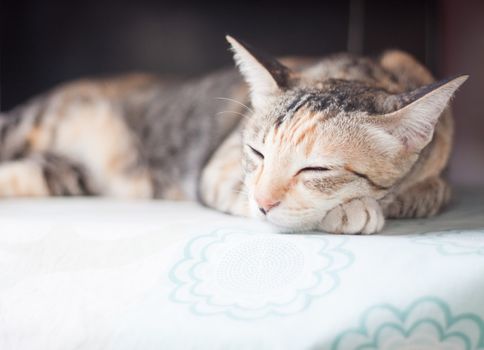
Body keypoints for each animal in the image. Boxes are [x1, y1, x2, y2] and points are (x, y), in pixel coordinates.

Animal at [0, 35, 468, 234]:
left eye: (316, 169)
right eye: (256, 152)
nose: (263, 202)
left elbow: (427, 194)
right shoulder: (220, 169)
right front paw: (353, 211)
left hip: (64, 174)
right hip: (29, 125)